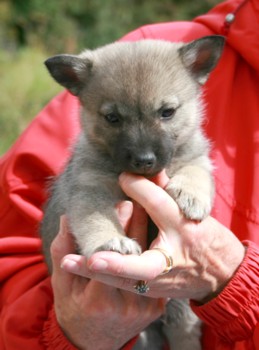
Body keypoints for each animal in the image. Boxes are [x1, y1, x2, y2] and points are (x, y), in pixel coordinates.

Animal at [42, 36, 225, 350]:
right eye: (112, 118)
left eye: (167, 112)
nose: (144, 160)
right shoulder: (90, 189)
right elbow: (97, 220)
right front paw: (111, 241)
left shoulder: (197, 158)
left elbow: (195, 170)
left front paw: (191, 196)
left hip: (182, 315)